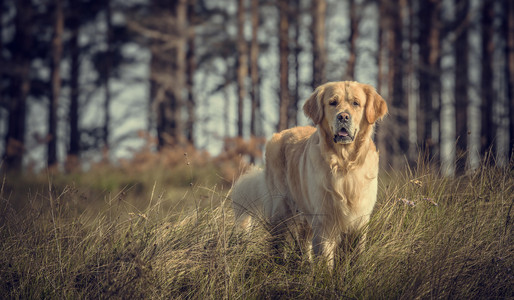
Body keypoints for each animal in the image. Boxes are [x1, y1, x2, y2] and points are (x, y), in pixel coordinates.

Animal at [231, 81, 384, 264]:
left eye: (356, 103)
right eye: (332, 103)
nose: (343, 117)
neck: (344, 164)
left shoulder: (360, 220)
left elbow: (356, 256)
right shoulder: (324, 219)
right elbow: (325, 258)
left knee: (303, 243)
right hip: (281, 209)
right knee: (278, 243)